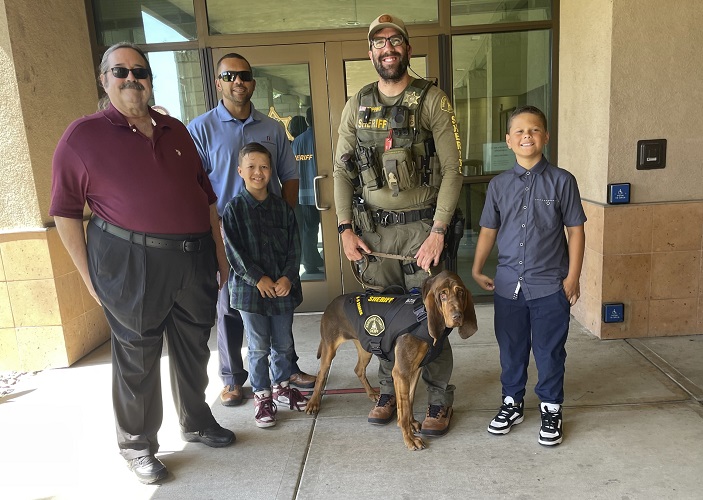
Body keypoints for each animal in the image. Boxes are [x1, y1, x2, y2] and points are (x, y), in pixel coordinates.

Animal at [304, 272, 478, 452]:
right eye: (442, 294)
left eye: (461, 292)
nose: (458, 316)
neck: (422, 317)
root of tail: (332, 302)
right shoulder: (401, 372)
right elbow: (405, 407)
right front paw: (409, 438)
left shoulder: (414, 370)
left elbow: (409, 401)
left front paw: (410, 423)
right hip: (329, 349)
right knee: (321, 374)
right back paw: (313, 403)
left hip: (365, 347)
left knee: (358, 369)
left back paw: (372, 394)